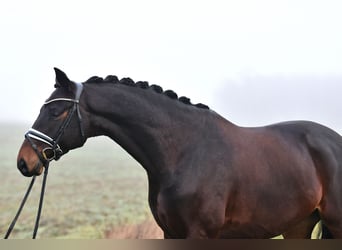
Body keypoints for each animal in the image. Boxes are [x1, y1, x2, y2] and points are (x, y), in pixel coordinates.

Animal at [16, 68, 342, 238]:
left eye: (56, 111)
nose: (24, 161)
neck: (183, 153)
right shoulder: (169, 232)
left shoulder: (199, 234)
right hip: (298, 225)